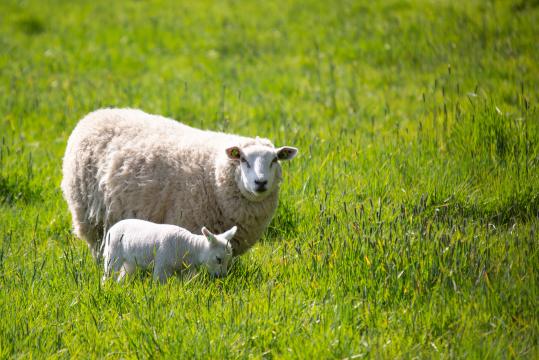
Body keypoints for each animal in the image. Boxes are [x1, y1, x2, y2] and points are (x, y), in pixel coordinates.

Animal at [62, 108, 300, 258]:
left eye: (274, 160)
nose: (261, 183)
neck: (214, 174)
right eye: (242, 160)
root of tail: (95, 114)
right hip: (89, 216)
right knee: (97, 246)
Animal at [102, 219, 236, 284]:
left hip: (130, 261)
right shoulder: (162, 265)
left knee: (124, 274)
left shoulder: (185, 270)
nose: (222, 276)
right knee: (108, 274)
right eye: (218, 259)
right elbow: (159, 283)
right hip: (113, 254)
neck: (190, 247)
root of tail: (112, 228)